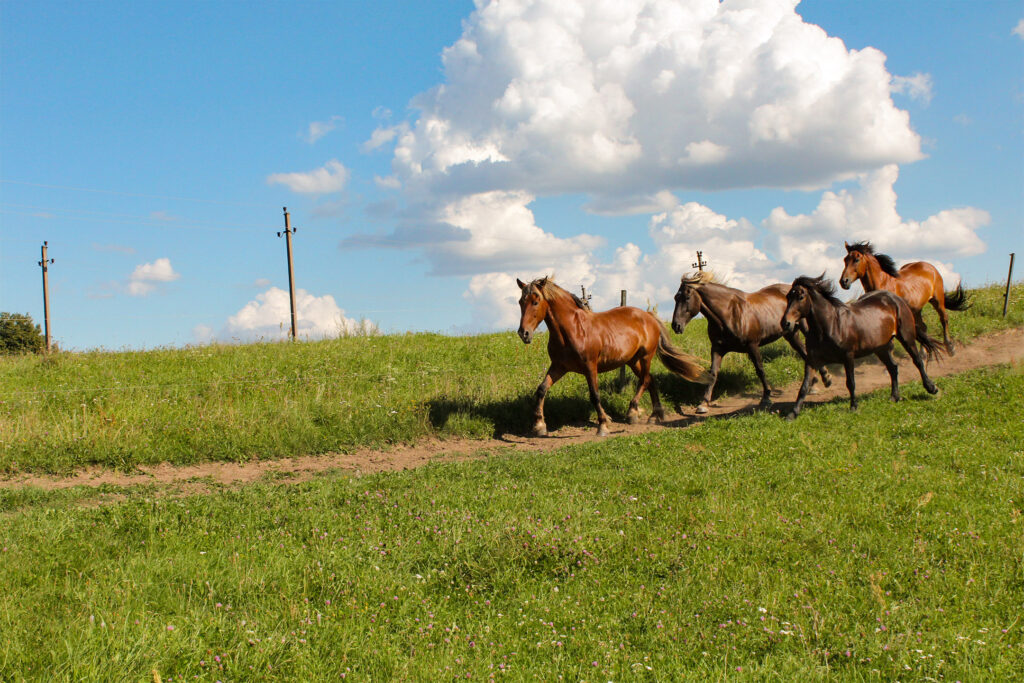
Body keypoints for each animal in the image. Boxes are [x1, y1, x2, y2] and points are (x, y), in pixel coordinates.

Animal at [516, 276, 708, 438]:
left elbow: (594, 395)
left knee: (645, 380)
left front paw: (603, 425)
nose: (523, 333)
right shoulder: (559, 367)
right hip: (633, 361)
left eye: (535, 301)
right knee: (651, 380)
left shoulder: (590, 367)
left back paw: (632, 413)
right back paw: (654, 415)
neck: (573, 329)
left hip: (646, 357)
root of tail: (648, 316)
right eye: (520, 302)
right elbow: (541, 389)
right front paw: (539, 426)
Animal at [671, 270, 831, 411]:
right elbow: (713, 374)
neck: (729, 314)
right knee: (805, 354)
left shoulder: (752, 346)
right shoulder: (717, 349)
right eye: (675, 298)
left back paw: (826, 379)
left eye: (686, 297)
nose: (676, 325)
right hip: (791, 335)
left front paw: (766, 398)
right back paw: (815, 384)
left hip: (804, 329)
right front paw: (703, 404)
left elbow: (760, 370)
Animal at [782, 274, 942, 419]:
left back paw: (932, 388)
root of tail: (896, 299)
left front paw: (853, 407)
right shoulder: (812, 360)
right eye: (788, 297)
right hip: (881, 348)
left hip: (906, 337)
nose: (785, 323)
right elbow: (804, 386)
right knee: (893, 367)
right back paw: (894, 397)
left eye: (801, 297)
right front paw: (792, 414)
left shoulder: (848, 356)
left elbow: (851, 382)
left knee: (918, 361)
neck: (830, 326)